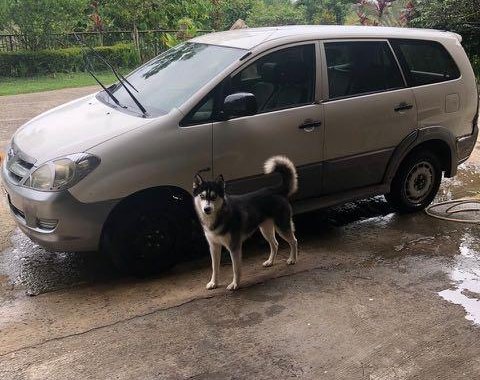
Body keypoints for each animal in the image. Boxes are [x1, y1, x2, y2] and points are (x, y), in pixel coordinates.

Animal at [193, 157, 298, 290]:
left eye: (214, 196)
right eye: (202, 196)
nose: (207, 209)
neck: (219, 216)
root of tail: (275, 190)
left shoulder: (234, 247)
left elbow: (235, 268)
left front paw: (235, 284)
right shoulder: (214, 246)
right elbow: (214, 268)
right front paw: (213, 283)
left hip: (282, 227)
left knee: (293, 241)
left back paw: (292, 259)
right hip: (265, 229)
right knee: (275, 244)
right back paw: (270, 262)